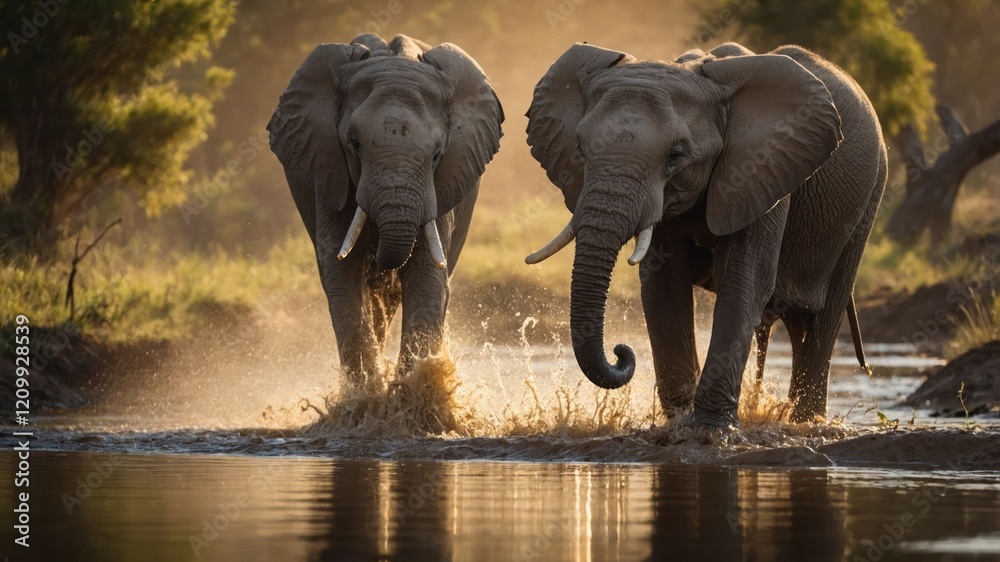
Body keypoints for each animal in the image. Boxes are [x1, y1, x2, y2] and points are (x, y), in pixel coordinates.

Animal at [267, 34, 503, 384]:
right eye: (354, 143)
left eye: (437, 154)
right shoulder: (329, 171)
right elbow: (341, 273)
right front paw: (366, 392)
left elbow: (427, 272)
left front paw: (413, 390)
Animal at [524, 42, 885, 427]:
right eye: (580, 148)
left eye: (676, 156)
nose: (621, 351)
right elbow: (664, 285)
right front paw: (679, 420)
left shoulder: (762, 170)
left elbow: (745, 280)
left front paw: (708, 430)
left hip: (868, 200)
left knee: (822, 320)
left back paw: (806, 422)